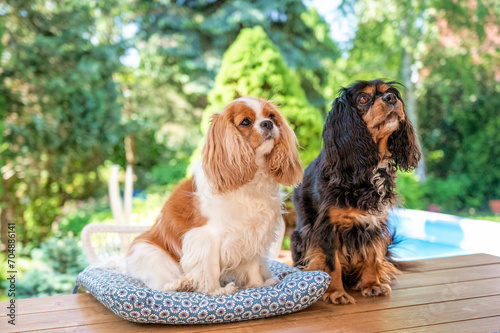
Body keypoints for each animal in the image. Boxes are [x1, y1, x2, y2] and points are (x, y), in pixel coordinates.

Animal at [127, 97, 302, 294]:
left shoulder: (251, 233)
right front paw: (216, 291)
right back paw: (181, 284)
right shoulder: (205, 236)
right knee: (162, 285)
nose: (268, 123)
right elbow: (210, 267)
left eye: (272, 116)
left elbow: (251, 265)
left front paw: (256, 285)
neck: (253, 180)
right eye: (245, 122)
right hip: (152, 255)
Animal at [292, 80, 420, 304]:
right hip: (297, 238)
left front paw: (371, 284)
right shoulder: (328, 227)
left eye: (389, 92)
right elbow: (332, 262)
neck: (368, 168)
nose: (391, 99)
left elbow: (371, 255)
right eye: (363, 99)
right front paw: (335, 292)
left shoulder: (374, 224)